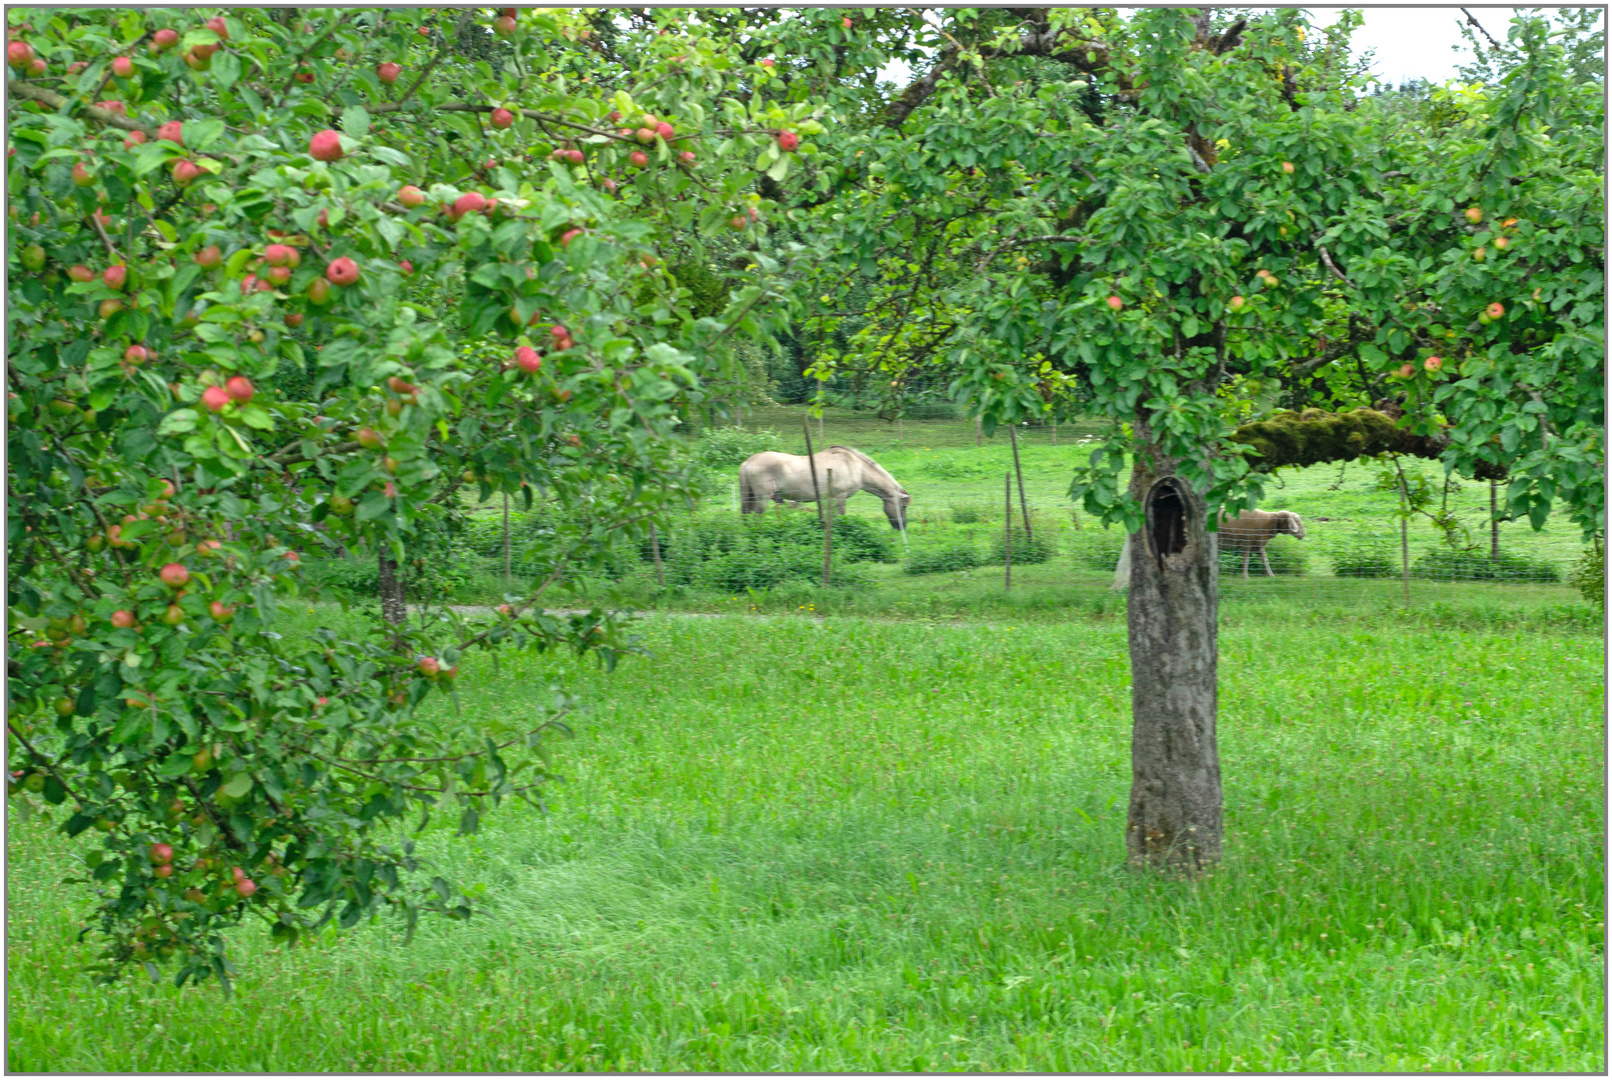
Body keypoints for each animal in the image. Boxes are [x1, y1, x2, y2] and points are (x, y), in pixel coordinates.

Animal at [738, 448, 915, 531]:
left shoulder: (830, 499)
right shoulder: (840, 497)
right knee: (756, 518)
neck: (855, 466)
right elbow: (841, 516)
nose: (902, 527)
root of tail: (748, 462)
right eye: (903, 506)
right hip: (762, 498)